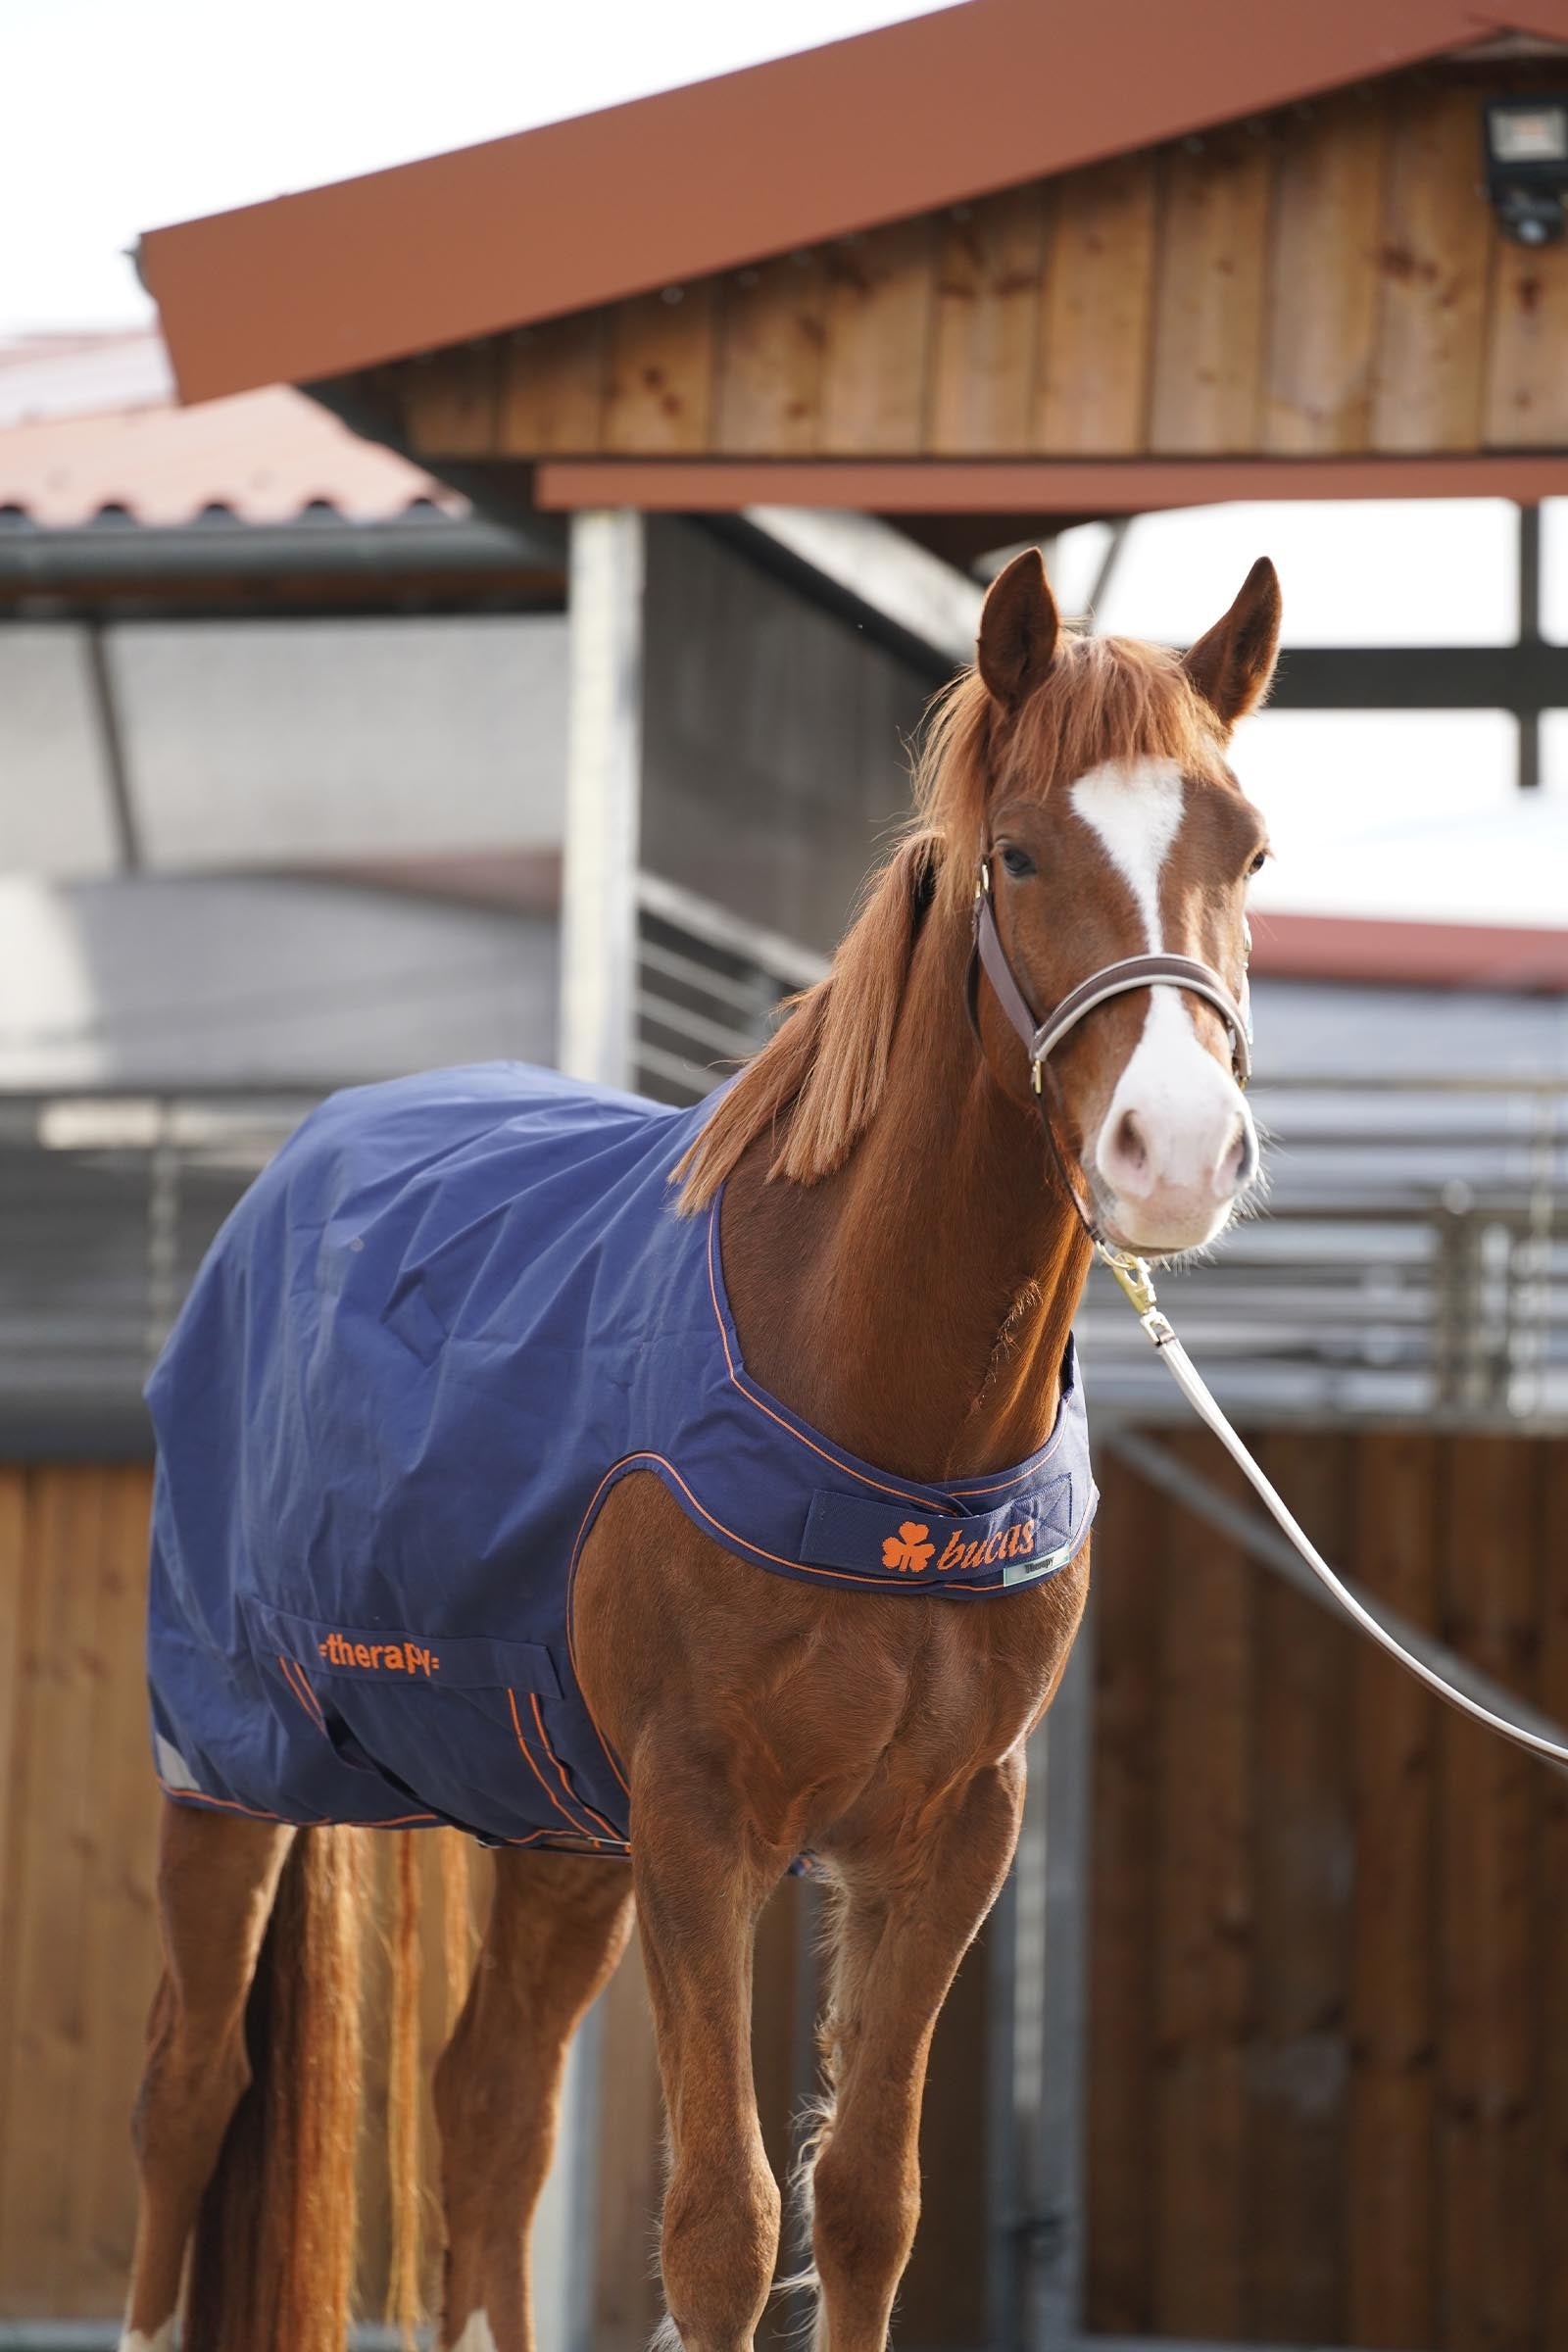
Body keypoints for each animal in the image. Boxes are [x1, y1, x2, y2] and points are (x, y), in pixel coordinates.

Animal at [121, 542, 1280, 2352]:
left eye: (1249, 849)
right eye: (1021, 851)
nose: (1175, 1150)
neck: (878, 1407)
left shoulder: (949, 1837)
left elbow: (866, 2204)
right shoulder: (697, 1820)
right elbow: (723, 2226)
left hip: (546, 1822)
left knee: (488, 2115)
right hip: (226, 1769)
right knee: (187, 2094)